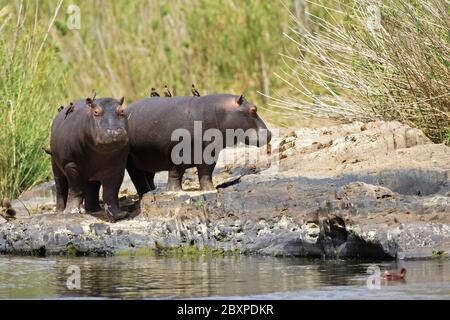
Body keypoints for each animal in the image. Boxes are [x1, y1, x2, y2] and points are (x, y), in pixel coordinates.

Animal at [123, 94, 270, 196]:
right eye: (253, 109)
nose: (269, 133)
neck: (219, 112)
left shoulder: (210, 154)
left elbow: (206, 173)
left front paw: (210, 190)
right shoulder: (178, 153)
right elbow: (175, 173)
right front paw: (174, 191)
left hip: (148, 160)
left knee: (148, 176)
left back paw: (153, 190)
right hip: (132, 161)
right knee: (138, 178)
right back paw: (147, 193)